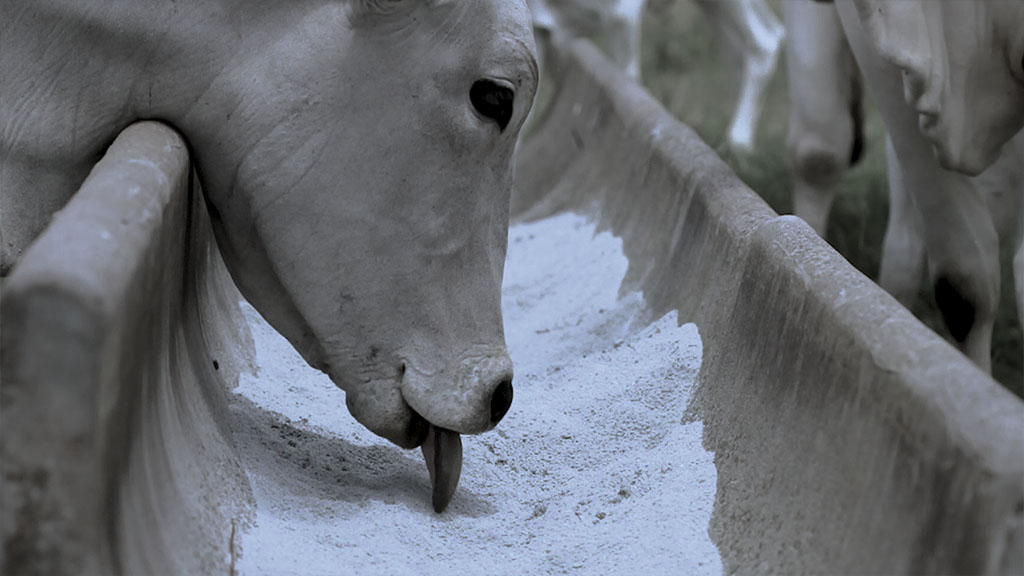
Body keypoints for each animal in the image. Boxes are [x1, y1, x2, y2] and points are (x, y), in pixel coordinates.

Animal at [528, 0, 782, 151]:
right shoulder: (540, 31)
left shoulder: (621, 14)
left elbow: (628, 81)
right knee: (742, 51)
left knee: (764, 41)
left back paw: (738, 145)